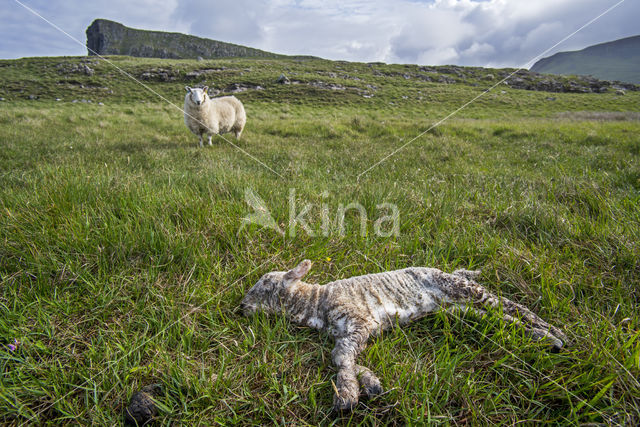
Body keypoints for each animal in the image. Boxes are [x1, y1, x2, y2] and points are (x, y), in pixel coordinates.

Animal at [242, 260, 568, 412]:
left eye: (264, 285)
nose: (241, 307)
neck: (317, 301)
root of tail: (448, 271)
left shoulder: (359, 320)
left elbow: (340, 357)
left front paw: (346, 394)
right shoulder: (353, 331)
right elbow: (345, 357)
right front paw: (369, 383)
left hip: (464, 290)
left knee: (510, 305)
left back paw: (553, 332)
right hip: (459, 308)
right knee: (500, 318)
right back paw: (542, 338)